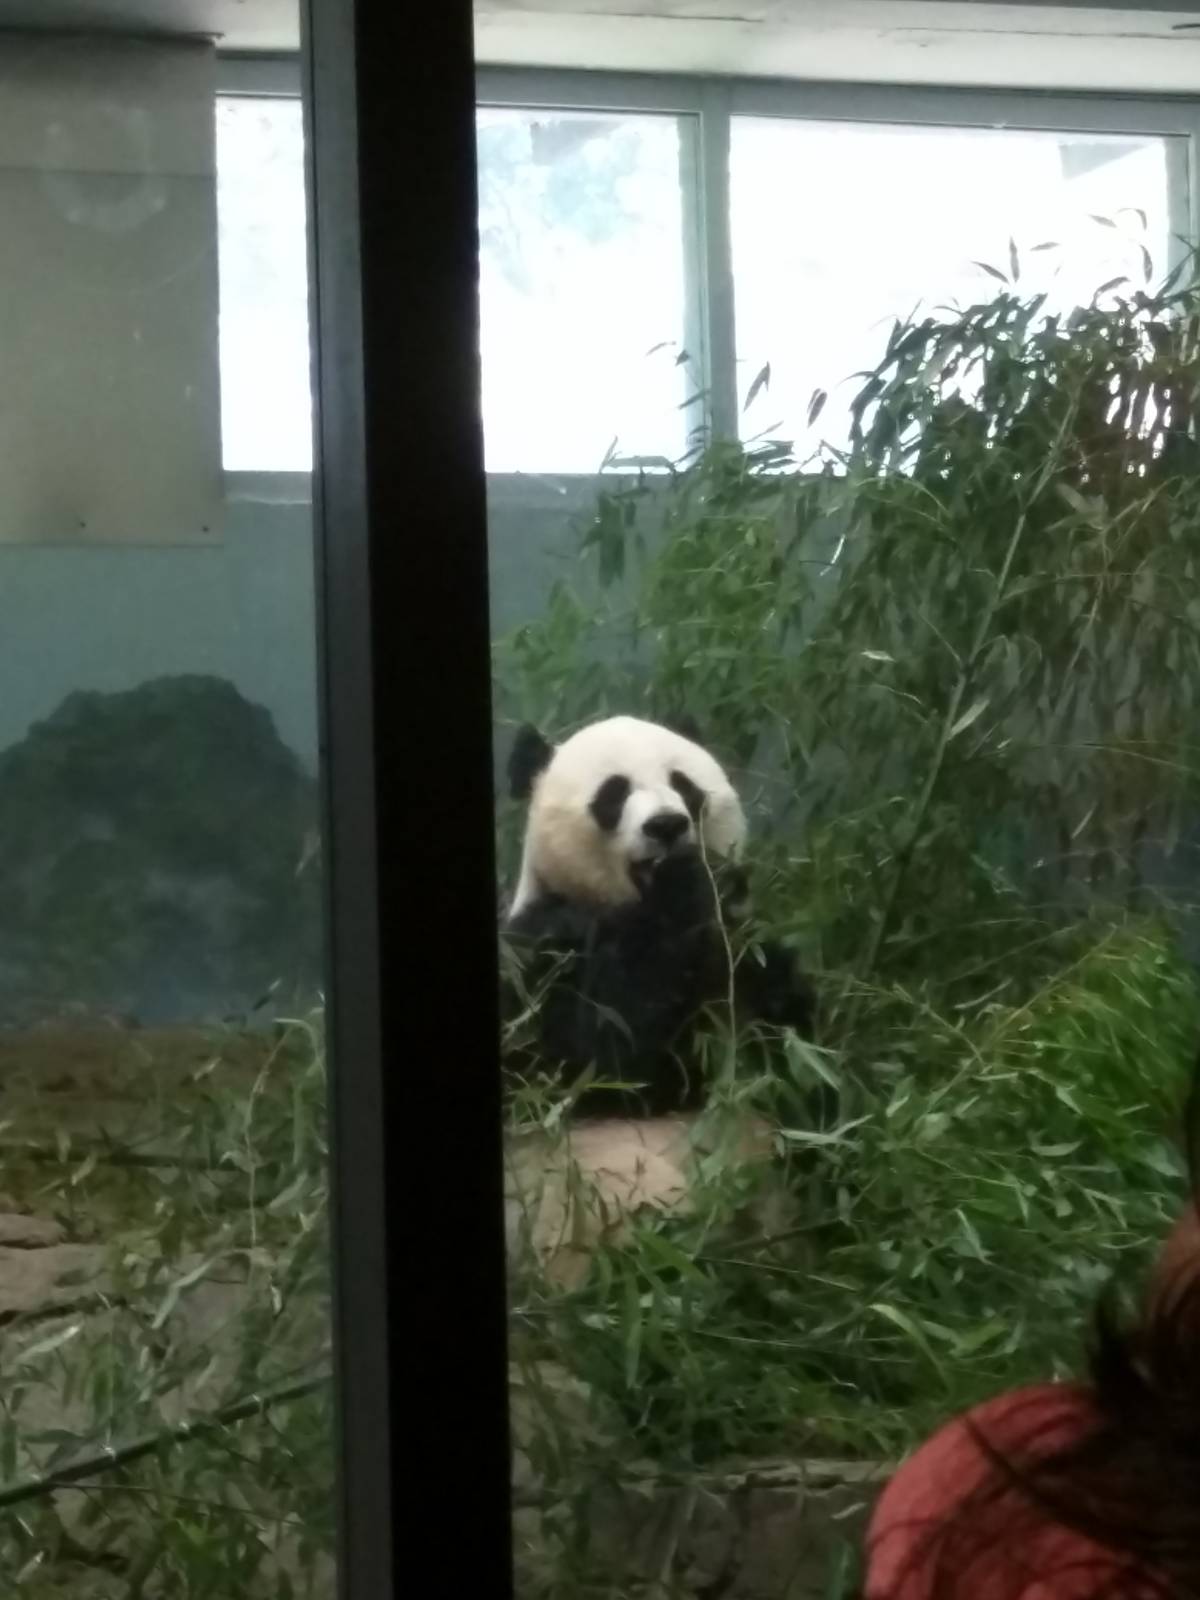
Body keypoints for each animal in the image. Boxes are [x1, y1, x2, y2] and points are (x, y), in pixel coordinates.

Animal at [501, 714, 816, 1117]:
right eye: (614, 794)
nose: (666, 825)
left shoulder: (737, 943)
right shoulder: (541, 947)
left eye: (683, 784)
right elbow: (604, 1057)